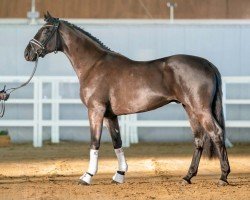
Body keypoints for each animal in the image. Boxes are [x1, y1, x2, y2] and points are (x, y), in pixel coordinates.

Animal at [23, 12, 230, 186]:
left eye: (46, 30)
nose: (28, 53)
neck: (94, 65)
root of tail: (207, 63)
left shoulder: (95, 110)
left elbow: (94, 142)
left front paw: (87, 176)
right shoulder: (110, 115)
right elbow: (117, 142)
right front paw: (120, 174)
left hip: (200, 109)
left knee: (216, 133)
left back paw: (223, 177)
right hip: (189, 108)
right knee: (199, 139)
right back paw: (187, 177)